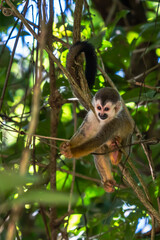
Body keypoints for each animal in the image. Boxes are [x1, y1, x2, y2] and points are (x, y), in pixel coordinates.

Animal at [60, 40, 134, 191]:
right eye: (99, 107)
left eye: (106, 109)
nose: (101, 114)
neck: (102, 121)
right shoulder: (92, 115)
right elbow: (85, 134)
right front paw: (68, 145)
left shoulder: (114, 123)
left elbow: (98, 139)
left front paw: (71, 152)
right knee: (100, 150)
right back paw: (108, 180)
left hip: (129, 137)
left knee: (120, 143)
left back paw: (116, 156)